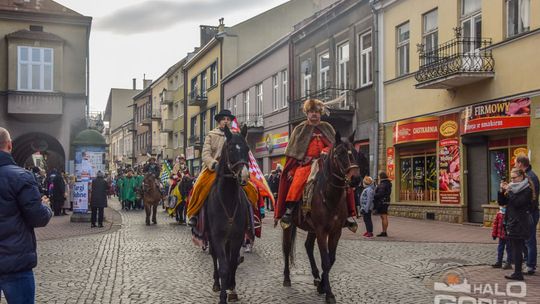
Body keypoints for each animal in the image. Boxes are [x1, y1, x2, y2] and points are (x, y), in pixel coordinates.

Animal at [206, 124, 252, 304]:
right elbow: (224, 266)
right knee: (214, 257)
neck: (228, 199)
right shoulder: (217, 237)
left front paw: (232, 289)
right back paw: (216, 283)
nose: (244, 175)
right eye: (231, 149)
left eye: (247, 148)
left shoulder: (237, 237)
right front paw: (222, 296)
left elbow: (232, 263)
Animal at [282, 131, 362, 304]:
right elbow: (325, 260)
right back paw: (286, 278)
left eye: (355, 152)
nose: (356, 179)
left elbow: (331, 259)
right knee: (286, 248)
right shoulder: (321, 231)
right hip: (290, 226)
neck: (329, 195)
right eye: (340, 153)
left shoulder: (335, 232)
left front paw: (323, 286)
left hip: (311, 229)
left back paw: (316, 277)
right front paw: (329, 293)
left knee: (307, 246)